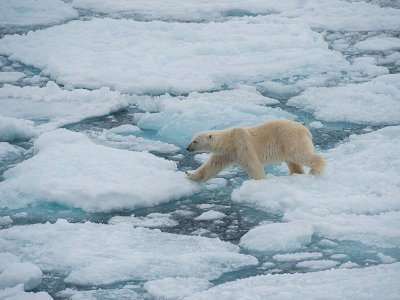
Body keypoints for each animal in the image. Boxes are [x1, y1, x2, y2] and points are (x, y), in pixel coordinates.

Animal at [186, 119, 324, 180]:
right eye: (192, 139)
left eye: (195, 141)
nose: (187, 148)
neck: (229, 141)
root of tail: (306, 130)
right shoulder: (226, 154)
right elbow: (211, 166)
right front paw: (190, 174)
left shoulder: (242, 146)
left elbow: (253, 165)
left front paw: (259, 181)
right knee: (292, 161)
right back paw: (295, 174)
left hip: (290, 139)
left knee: (299, 154)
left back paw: (315, 170)